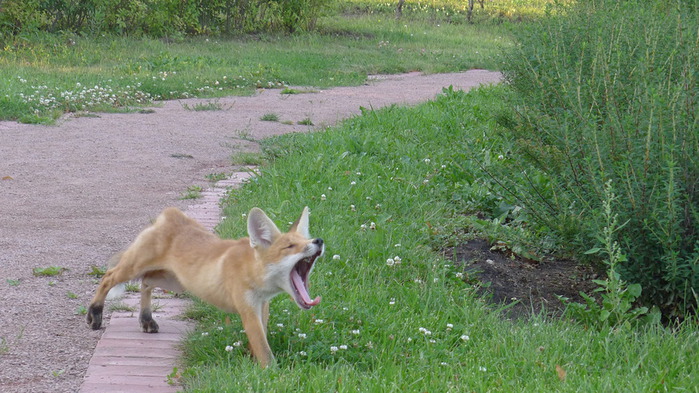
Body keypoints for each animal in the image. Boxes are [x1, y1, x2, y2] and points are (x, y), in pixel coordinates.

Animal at [86, 205, 324, 368]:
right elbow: (264, 348)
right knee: (108, 277)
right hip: (134, 268)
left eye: (306, 240)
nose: (318, 241)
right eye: (290, 246)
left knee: (145, 284)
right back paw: (95, 313)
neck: (254, 272)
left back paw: (146, 319)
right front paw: (271, 372)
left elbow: (260, 338)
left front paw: (250, 360)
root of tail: (170, 215)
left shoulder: (262, 305)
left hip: (170, 281)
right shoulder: (247, 308)